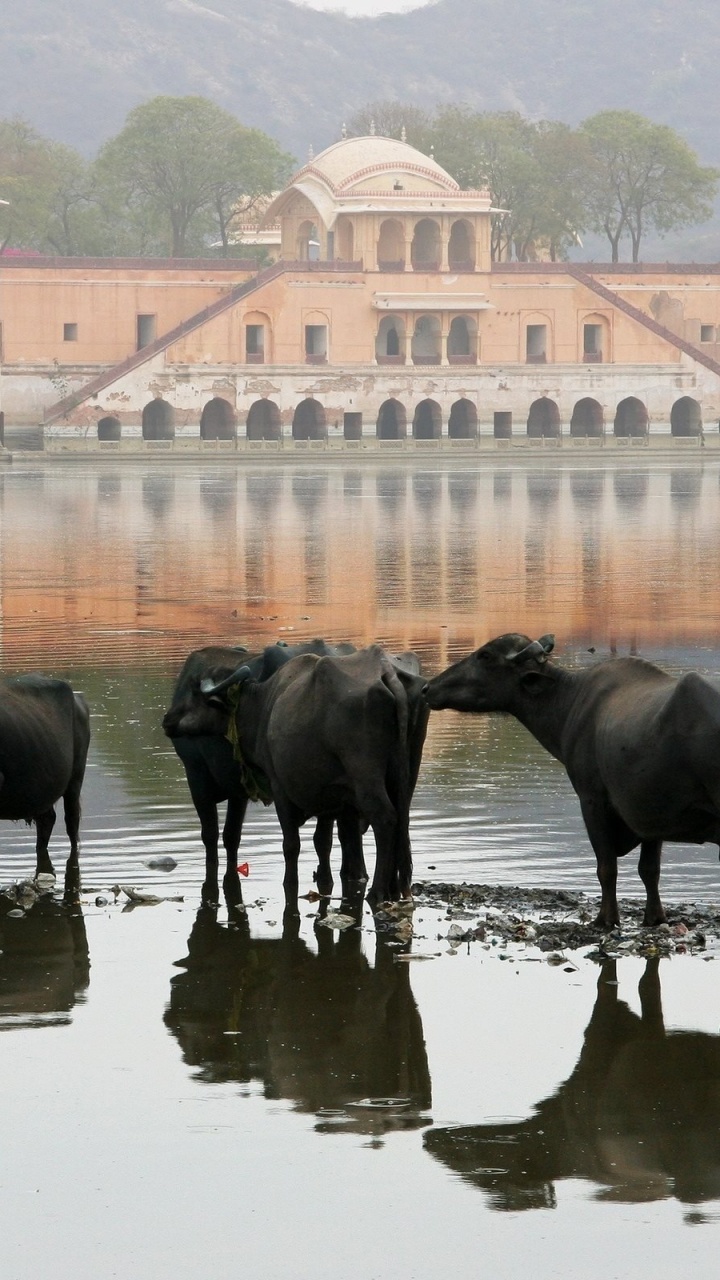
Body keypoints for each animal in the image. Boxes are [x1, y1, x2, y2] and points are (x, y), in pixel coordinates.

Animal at [199, 644, 429, 904]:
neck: (265, 706)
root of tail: (385, 670)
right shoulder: (334, 795)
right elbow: (326, 841)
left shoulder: (280, 788)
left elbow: (292, 845)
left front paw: (290, 882)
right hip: (407, 772)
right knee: (402, 820)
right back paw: (396, 887)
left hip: (366, 775)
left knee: (385, 818)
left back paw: (377, 890)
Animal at [424, 633, 720, 927]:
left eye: (484, 655)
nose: (428, 688)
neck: (570, 703)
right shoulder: (650, 814)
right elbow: (649, 870)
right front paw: (655, 917)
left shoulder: (592, 799)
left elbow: (606, 867)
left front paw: (605, 918)